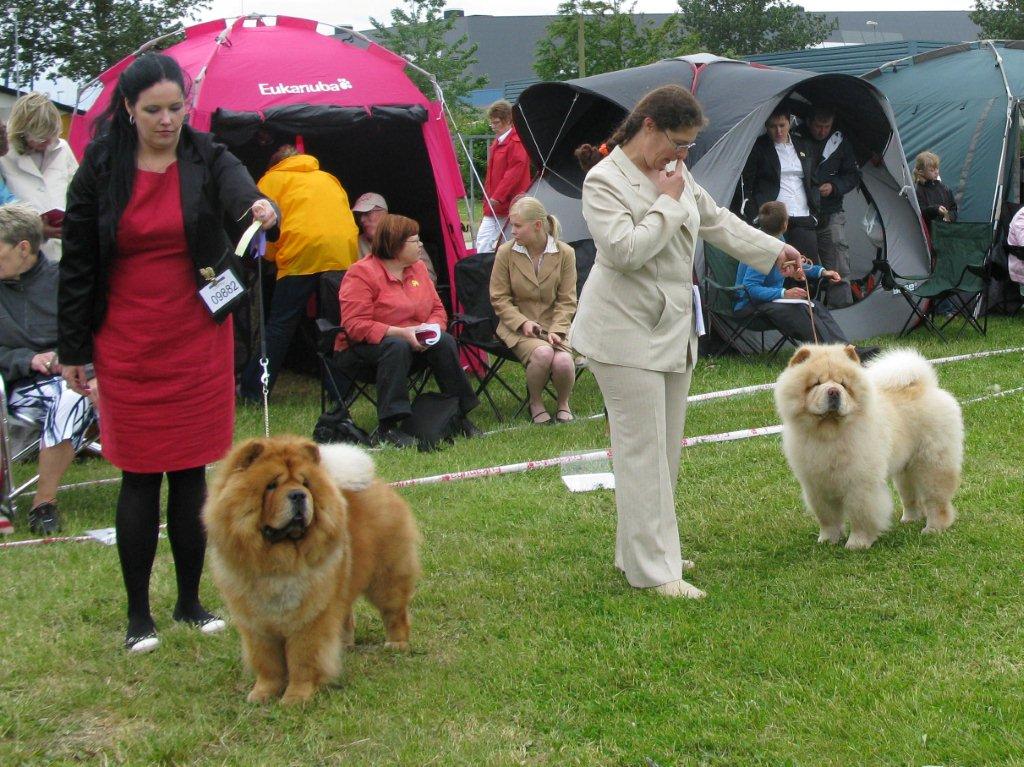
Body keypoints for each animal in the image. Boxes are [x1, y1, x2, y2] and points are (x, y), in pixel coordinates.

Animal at [203, 434, 419, 704]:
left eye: (305, 484)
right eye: (271, 485)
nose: (298, 495)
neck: (277, 562)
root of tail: (377, 484)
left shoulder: (309, 618)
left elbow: (302, 660)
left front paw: (296, 698)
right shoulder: (256, 625)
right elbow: (267, 663)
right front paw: (262, 694)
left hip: (386, 578)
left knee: (394, 612)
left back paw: (397, 644)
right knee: (345, 614)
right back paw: (344, 644)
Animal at [774, 344, 958, 548]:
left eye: (843, 384)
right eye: (816, 383)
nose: (833, 391)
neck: (829, 434)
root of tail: (925, 386)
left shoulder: (859, 484)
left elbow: (860, 514)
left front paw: (857, 543)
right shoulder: (817, 485)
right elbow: (827, 517)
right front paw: (828, 540)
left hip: (932, 464)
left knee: (936, 499)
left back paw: (933, 528)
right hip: (905, 469)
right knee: (910, 496)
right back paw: (909, 519)